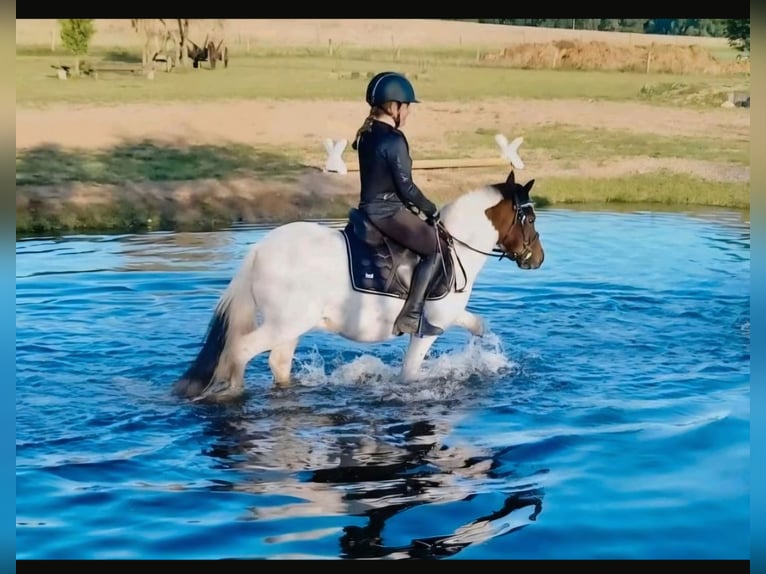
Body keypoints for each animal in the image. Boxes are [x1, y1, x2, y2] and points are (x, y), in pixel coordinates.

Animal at [173, 168, 545, 402]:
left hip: (291, 326)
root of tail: (259, 250)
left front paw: (483, 352)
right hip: (284, 324)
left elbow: (478, 323)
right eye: (529, 218)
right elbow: (410, 373)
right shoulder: (428, 329)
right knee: (240, 350)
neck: (456, 247)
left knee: (277, 363)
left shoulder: (448, 317)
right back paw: (233, 394)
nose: (538, 258)